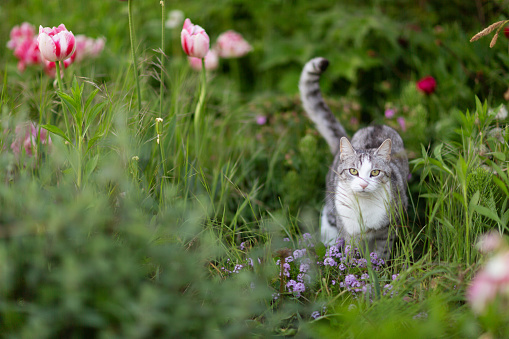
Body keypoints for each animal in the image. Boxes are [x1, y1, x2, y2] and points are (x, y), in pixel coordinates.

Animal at [298, 57, 408, 260]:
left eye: (375, 172)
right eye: (353, 171)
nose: (364, 184)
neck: (364, 208)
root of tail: (376, 125)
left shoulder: (388, 228)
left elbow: (382, 252)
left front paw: (378, 266)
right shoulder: (348, 230)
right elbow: (350, 253)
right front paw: (349, 265)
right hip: (332, 210)